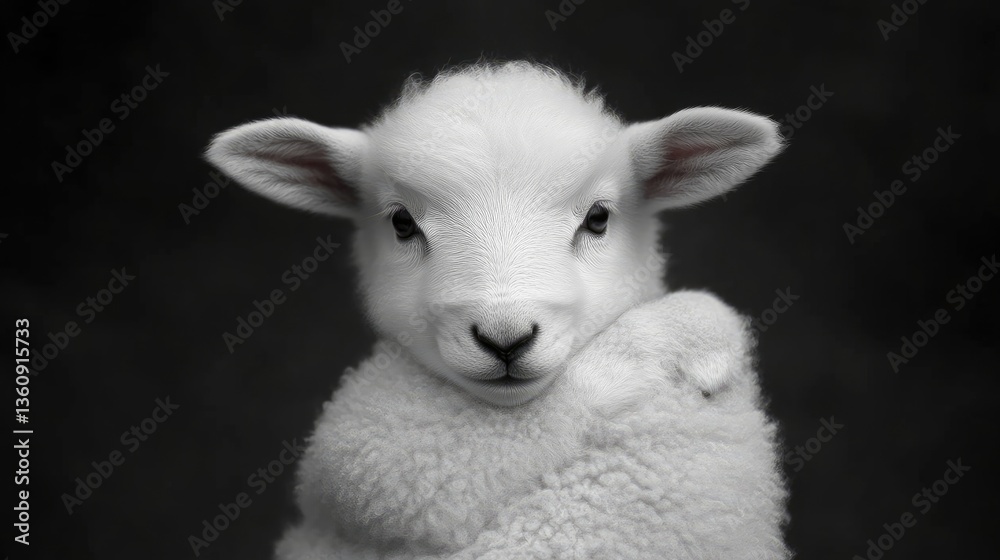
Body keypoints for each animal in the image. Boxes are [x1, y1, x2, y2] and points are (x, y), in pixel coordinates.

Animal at [206, 61, 790, 559]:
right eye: (401, 222)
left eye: (598, 218)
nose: (504, 339)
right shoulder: (386, 456)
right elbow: (557, 403)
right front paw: (695, 331)